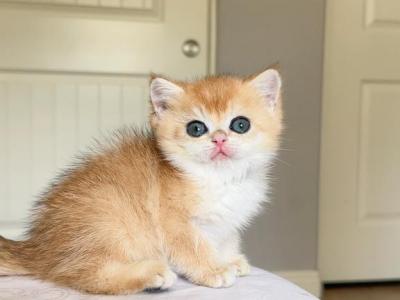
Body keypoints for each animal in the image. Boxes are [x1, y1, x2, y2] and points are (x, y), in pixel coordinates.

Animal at [0, 67, 282, 292]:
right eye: (196, 128)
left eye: (240, 124)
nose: (220, 139)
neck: (219, 178)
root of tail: (36, 248)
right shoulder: (173, 222)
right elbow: (193, 246)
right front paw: (213, 270)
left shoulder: (227, 223)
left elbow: (226, 237)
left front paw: (229, 259)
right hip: (108, 217)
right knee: (85, 276)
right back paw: (150, 274)